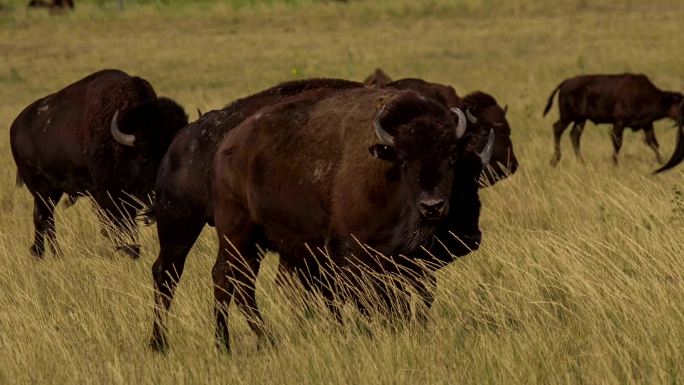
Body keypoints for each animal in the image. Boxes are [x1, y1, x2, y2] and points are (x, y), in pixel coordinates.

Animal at [8, 70, 190, 260]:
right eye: (144, 155)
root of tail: (15, 126)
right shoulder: (106, 194)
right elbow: (117, 223)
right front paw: (128, 251)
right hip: (41, 189)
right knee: (45, 218)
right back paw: (51, 254)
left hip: (52, 191)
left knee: (42, 217)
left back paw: (44, 254)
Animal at [544, 73, 680, 166]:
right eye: (680, 104)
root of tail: (566, 82)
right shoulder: (619, 123)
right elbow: (617, 143)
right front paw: (615, 163)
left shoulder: (647, 124)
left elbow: (653, 142)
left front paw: (662, 161)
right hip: (568, 117)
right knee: (558, 128)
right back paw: (555, 160)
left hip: (581, 119)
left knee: (574, 135)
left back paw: (581, 161)